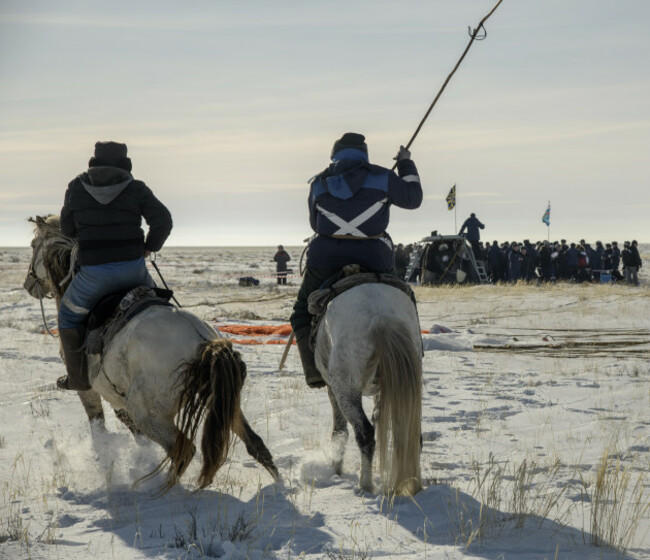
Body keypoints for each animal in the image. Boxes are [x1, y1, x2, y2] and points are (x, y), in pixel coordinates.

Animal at [22, 214, 276, 490]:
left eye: (33, 245)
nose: (27, 284)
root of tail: (203, 341)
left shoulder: (90, 390)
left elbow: (98, 424)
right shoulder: (119, 398)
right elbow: (134, 433)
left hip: (150, 414)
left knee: (183, 450)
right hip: (224, 403)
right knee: (255, 444)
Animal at [312, 280, 422, 494]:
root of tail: (381, 316)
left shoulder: (332, 389)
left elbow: (339, 431)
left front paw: (336, 470)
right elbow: (379, 418)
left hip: (345, 391)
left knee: (365, 433)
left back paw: (365, 485)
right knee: (406, 431)